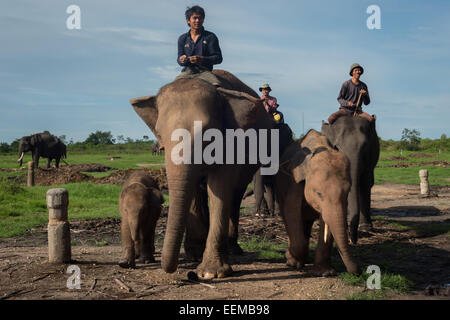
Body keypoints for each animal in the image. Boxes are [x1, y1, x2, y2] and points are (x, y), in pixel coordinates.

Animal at [129, 69, 278, 278]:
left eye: (209, 133)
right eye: (158, 131)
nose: (172, 270)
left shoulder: (230, 140)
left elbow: (219, 188)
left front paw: (210, 273)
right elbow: (193, 189)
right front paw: (195, 256)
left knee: (236, 194)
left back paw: (233, 249)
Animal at [274, 129, 358, 274]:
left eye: (347, 192)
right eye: (319, 194)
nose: (357, 271)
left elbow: (326, 222)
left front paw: (324, 273)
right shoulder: (295, 181)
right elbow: (291, 212)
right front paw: (292, 261)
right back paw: (295, 261)